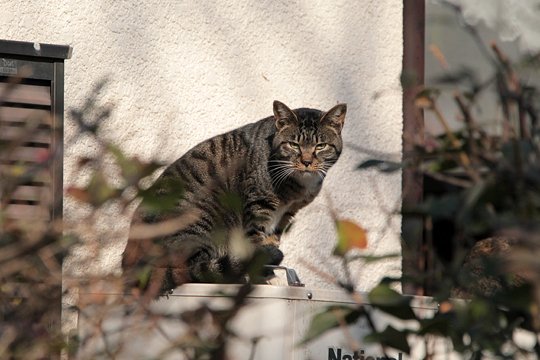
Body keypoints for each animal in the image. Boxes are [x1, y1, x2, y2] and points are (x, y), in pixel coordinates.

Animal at [122, 100, 346, 292]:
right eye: (293, 145)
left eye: (321, 146)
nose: (307, 161)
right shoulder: (257, 208)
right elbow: (257, 245)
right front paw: (263, 279)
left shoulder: (285, 215)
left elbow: (271, 242)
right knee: (191, 270)